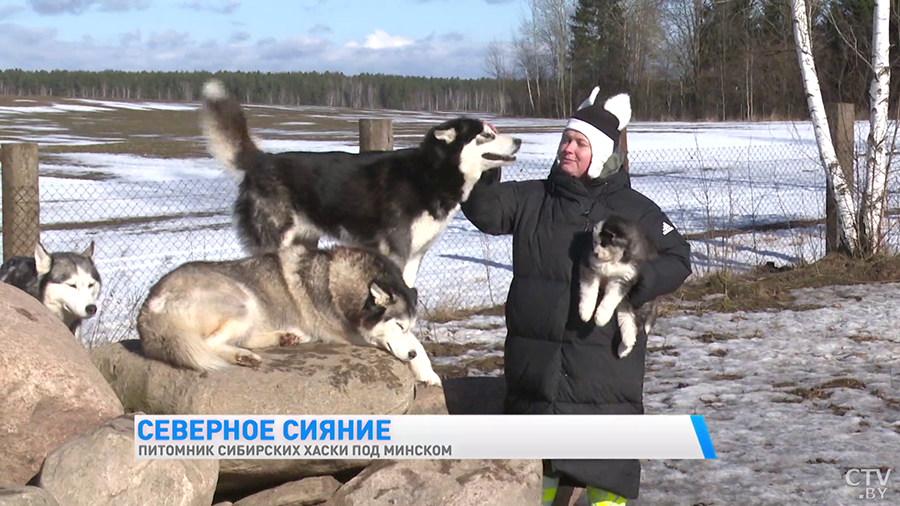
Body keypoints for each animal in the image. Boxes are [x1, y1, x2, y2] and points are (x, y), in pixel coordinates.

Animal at [135, 243, 442, 386]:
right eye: (398, 325)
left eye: (409, 324)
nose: (410, 357)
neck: (334, 279)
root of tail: (148, 308)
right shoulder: (348, 333)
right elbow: (411, 343)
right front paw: (421, 365)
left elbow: (419, 345)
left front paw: (427, 371)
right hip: (244, 301)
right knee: (209, 345)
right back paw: (244, 357)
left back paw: (283, 338)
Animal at [197, 77, 520, 286]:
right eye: (486, 134)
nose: (517, 140)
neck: (430, 173)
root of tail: (261, 161)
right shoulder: (397, 252)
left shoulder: (416, 254)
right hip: (275, 240)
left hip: (303, 241)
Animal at [576, 214, 660, 360]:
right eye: (594, 242)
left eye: (603, 243)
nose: (595, 253)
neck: (614, 259)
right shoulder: (590, 268)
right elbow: (589, 291)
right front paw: (585, 312)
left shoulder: (623, 279)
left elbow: (609, 300)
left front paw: (600, 317)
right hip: (625, 304)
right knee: (627, 320)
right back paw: (625, 345)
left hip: (639, 302)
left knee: (637, 325)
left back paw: (624, 347)